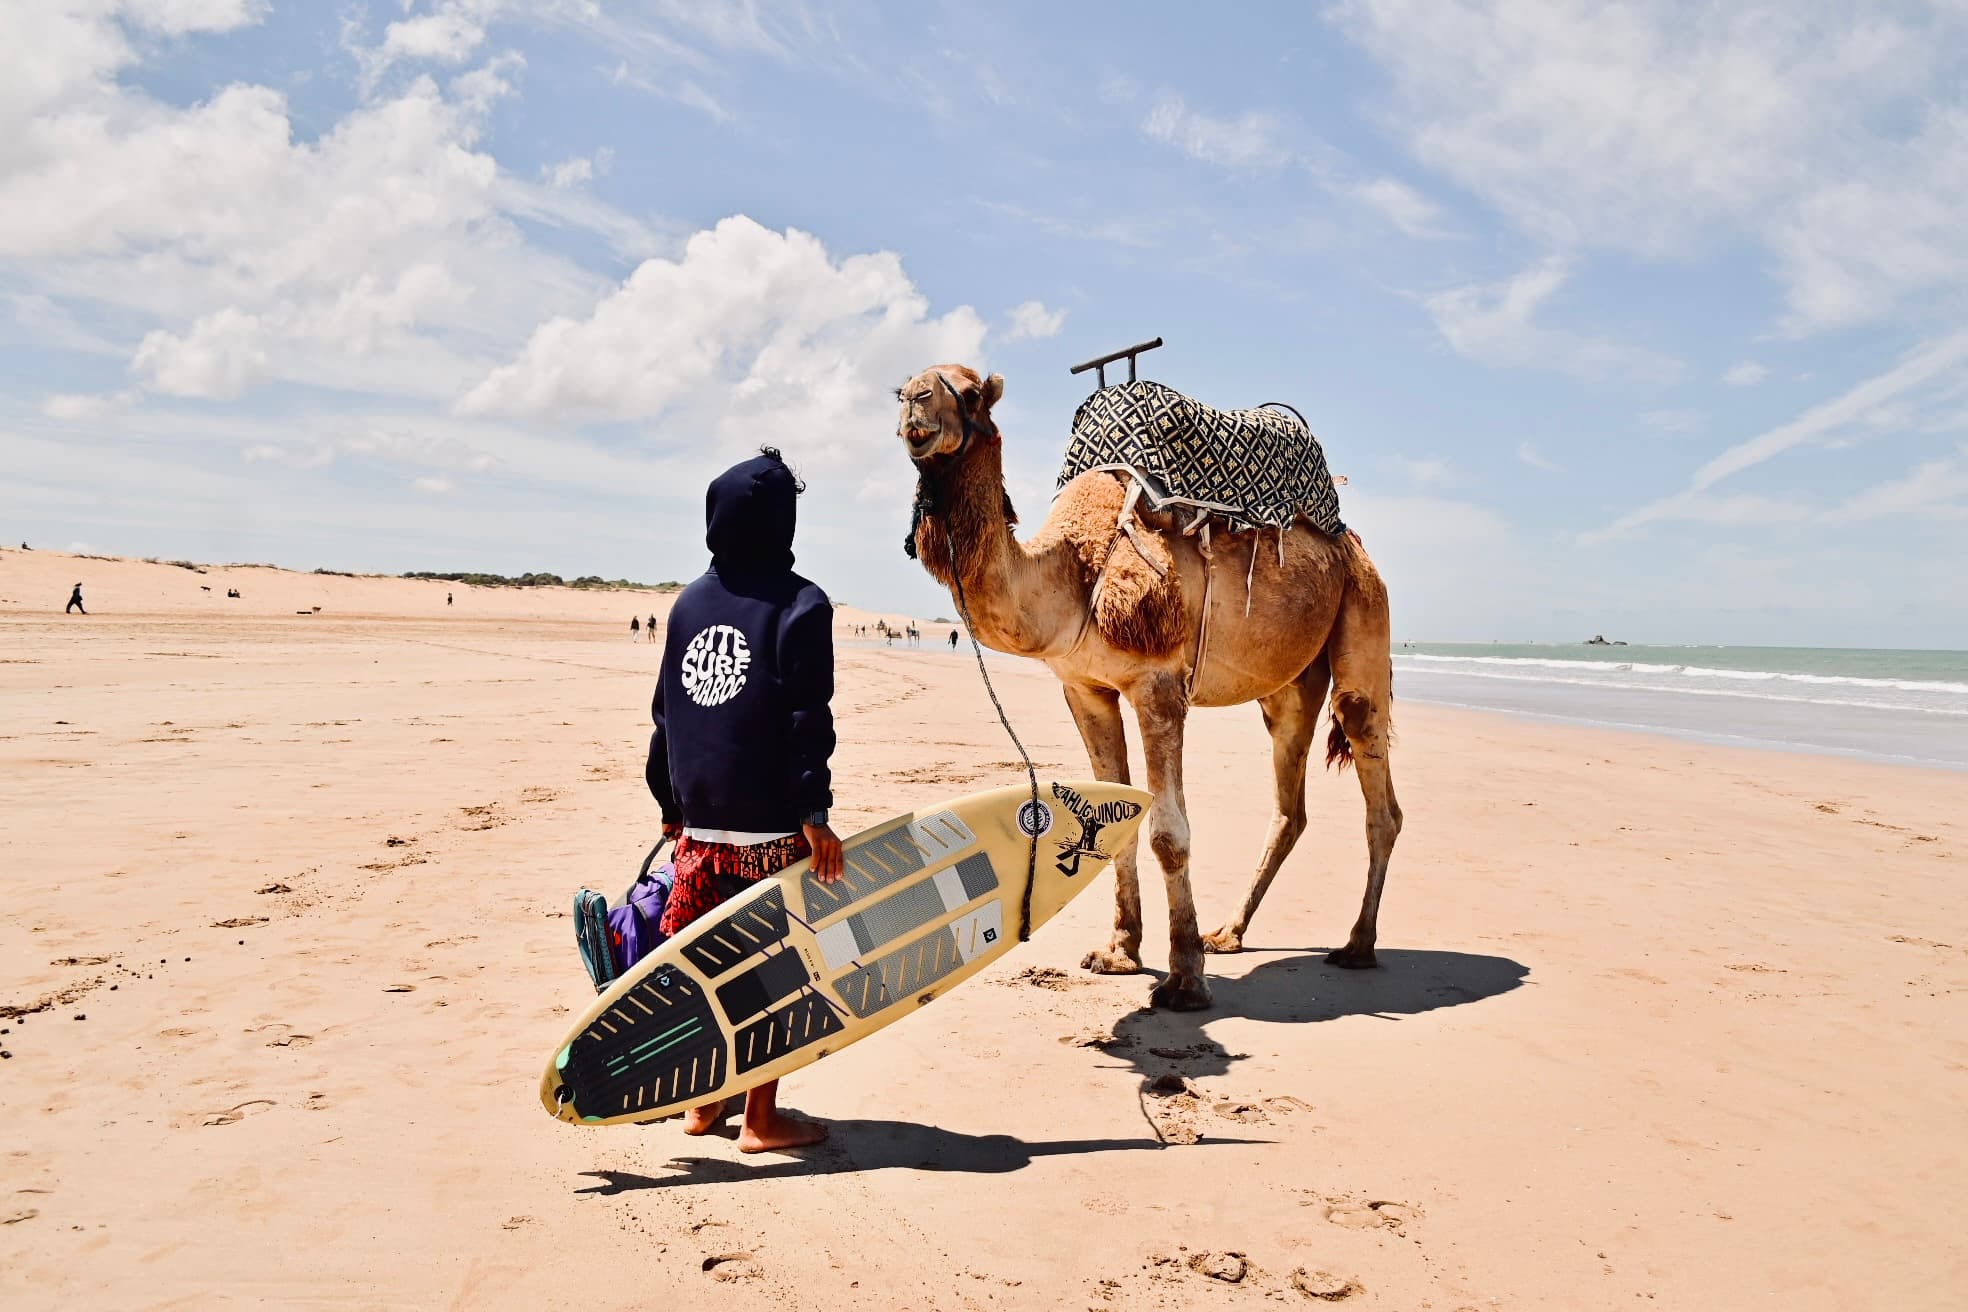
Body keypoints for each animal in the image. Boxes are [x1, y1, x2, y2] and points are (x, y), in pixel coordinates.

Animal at [896, 364, 1401, 1010]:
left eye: (969, 392)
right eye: (904, 387)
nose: (916, 403)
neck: (1075, 573)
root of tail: (1351, 544)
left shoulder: (1158, 684)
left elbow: (1168, 831)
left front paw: (1184, 979)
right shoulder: (1085, 688)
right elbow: (1115, 818)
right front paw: (1119, 953)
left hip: (1364, 610)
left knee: (1376, 783)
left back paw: (1357, 945)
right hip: (1288, 686)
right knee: (1291, 802)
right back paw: (1229, 933)